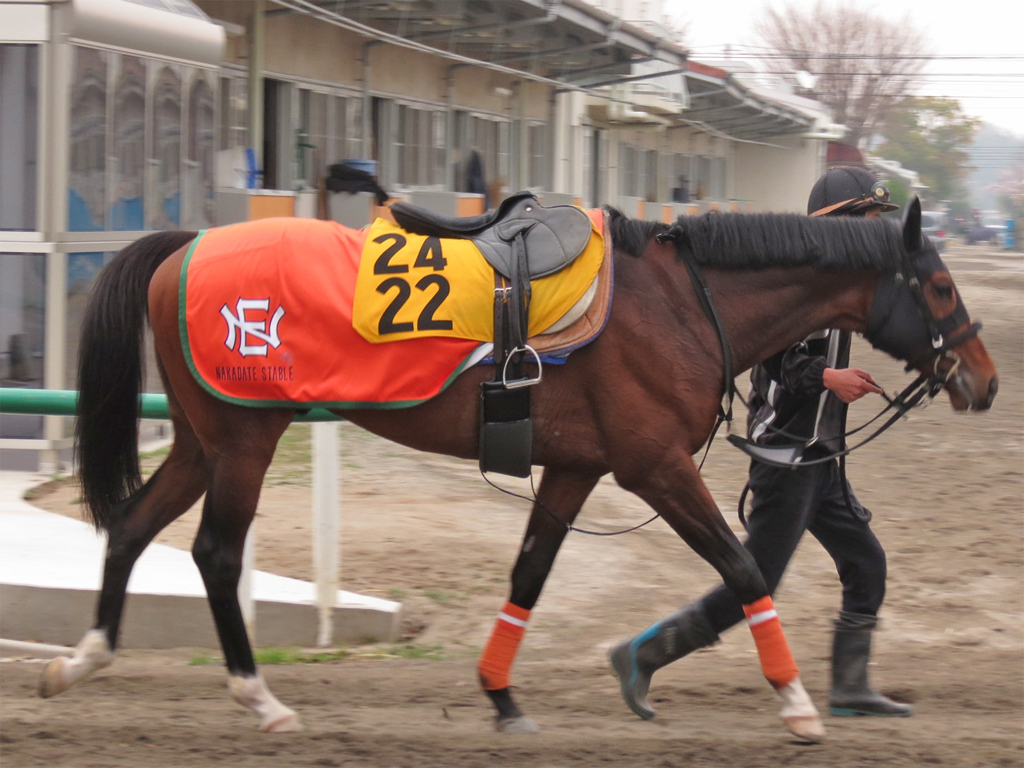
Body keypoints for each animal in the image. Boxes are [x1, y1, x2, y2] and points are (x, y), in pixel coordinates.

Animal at [37, 199, 991, 745]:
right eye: (943, 289)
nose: (984, 380)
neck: (681, 302)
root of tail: (185, 245)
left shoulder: (574, 467)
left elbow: (528, 576)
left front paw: (501, 697)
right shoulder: (655, 467)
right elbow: (745, 566)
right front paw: (794, 703)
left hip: (204, 440)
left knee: (131, 524)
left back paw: (81, 661)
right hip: (243, 438)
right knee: (216, 554)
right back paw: (258, 698)